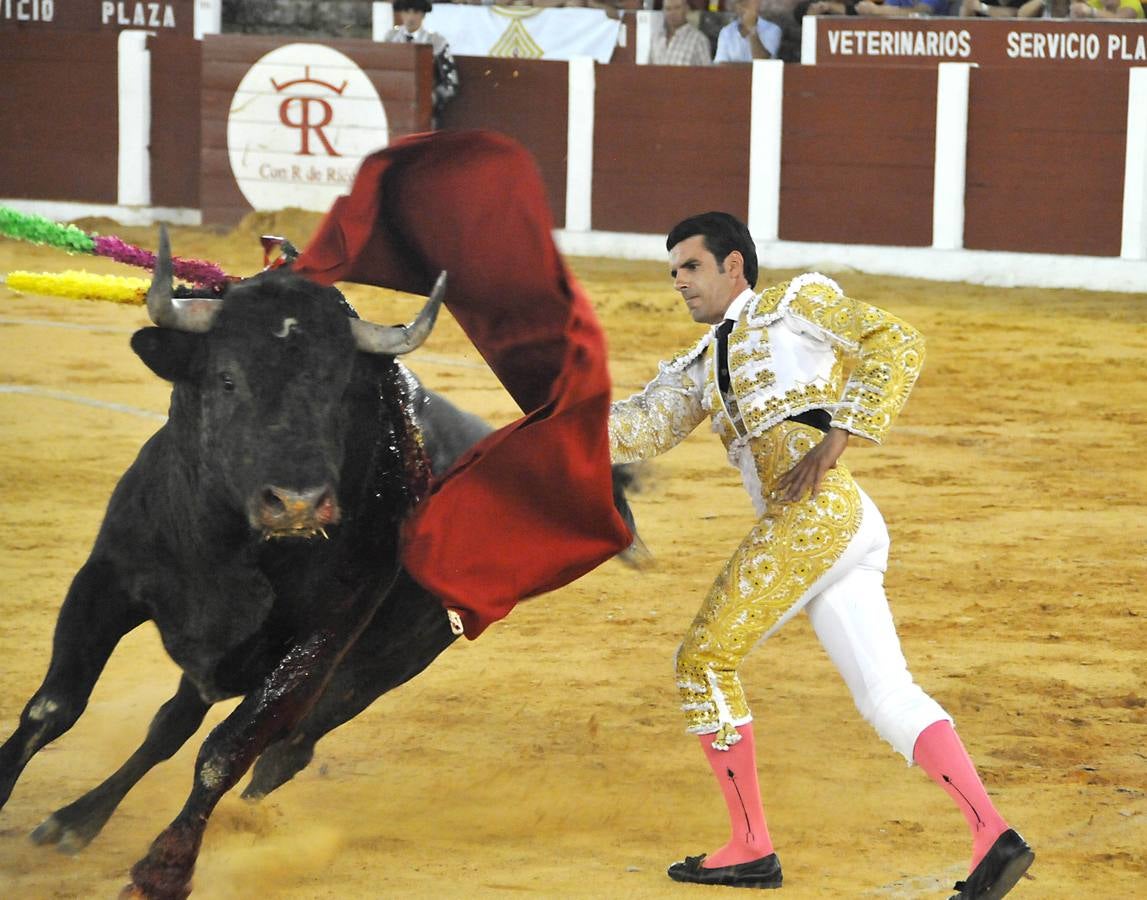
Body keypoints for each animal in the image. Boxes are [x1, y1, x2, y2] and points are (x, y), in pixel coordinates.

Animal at [0, 241, 646, 894]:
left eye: (339, 390)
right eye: (226, 378)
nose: (298, 503)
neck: (233, 544)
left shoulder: (318, 644)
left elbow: (224, 753)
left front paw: (165, 870)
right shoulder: (106, 579)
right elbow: (53, 708)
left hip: (381, 666)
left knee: (283, 751)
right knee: (170, 725)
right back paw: (76, 821)